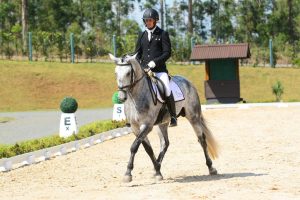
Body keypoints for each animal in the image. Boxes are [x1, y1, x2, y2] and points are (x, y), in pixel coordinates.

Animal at [108, 53, 218, 183]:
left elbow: (134, 146)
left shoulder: (147, 125)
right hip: (162, 123)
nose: (121, 97)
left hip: (193, 117)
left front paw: (128, 173)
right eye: (115, 73)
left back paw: (211, 168)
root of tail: (188, 82)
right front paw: (157, 171)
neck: (135, 97)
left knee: (202, 140)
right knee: (165, 143)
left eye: (128, 73)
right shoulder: (135, 127)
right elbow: (147, 148)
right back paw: (158, 167)